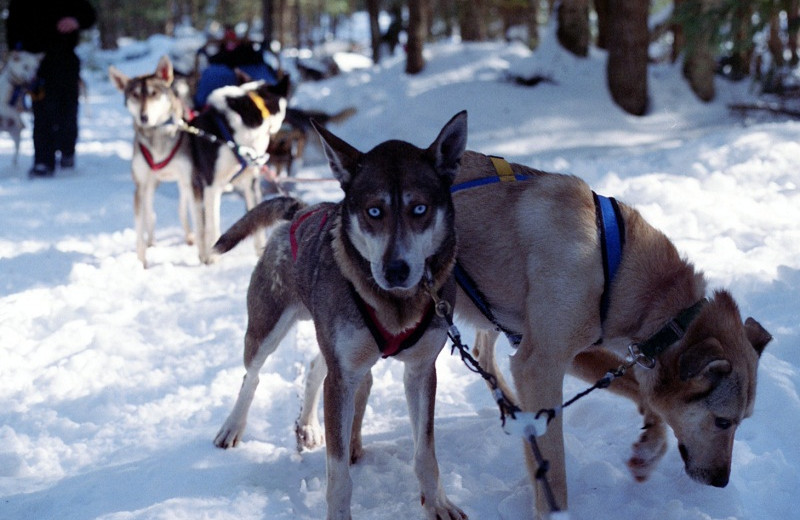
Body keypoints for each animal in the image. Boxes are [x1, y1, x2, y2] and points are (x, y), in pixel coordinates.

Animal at [216, 111, 472, 516]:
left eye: (419, 208)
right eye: (374, 211)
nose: (396, 270)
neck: (395, 304)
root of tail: (301, 209)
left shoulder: (419, 371)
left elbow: (425, 453)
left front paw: (437, 504)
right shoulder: (343, 377)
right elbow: (338, 475)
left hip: (337, 346)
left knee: (313, 367)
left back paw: (308, 425)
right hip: (267, 330)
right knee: (252, 376)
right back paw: (233, 426)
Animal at [296, 150, 776, 516]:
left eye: (743, 422)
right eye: (724, 421)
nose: (721, 482)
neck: (614, 264)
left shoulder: (577, 350)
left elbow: (645, 394)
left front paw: (649, 446)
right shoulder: (541, 363)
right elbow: (555, 471)